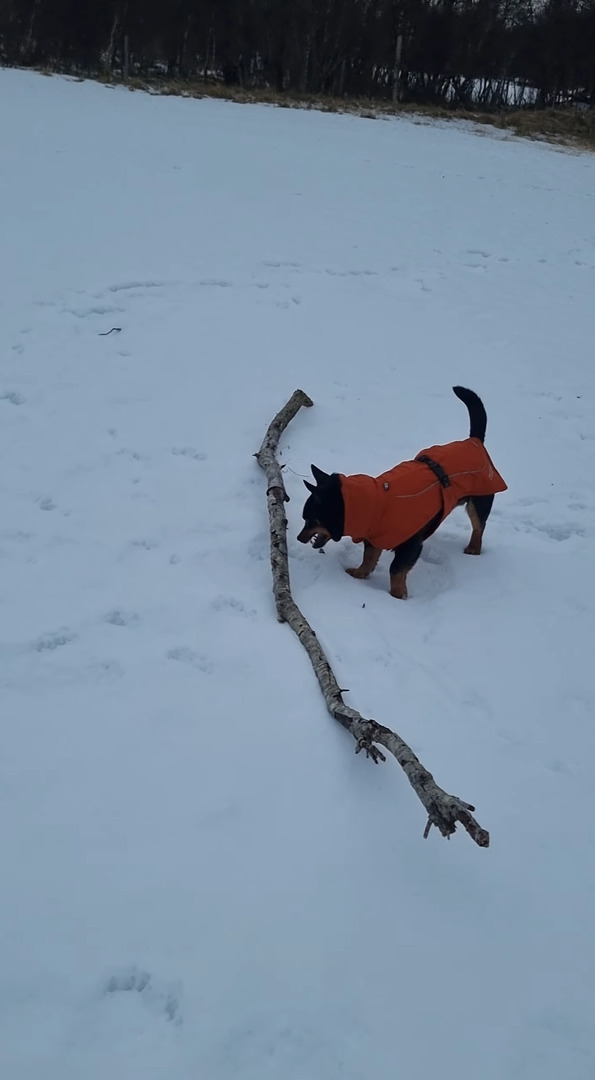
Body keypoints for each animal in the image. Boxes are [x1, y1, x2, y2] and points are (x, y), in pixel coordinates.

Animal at [298, 386, 507, 600]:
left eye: (311, 520)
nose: (298, 537)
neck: (377, 503)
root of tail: (474, 440)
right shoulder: (374, 537)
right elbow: (369, 558)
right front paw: (359, 574)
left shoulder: (410, 545)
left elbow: (396, 569)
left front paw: (398, 596)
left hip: (480, 501)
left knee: (479, 526)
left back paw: (474, 547)